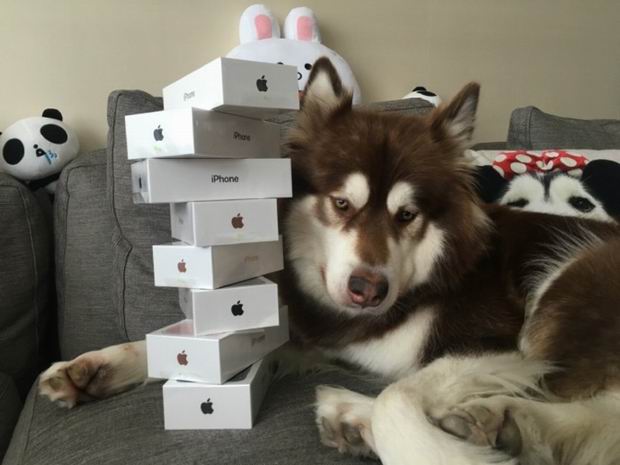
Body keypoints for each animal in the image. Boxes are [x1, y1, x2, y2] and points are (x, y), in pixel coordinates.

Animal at [38, 59, 620, 464]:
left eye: (407, 215)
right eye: (342, 204)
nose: (368, 289)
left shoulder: (498, 347)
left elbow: (397, 398)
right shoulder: (315, 332)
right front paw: (96, 367)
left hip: (570, 277)